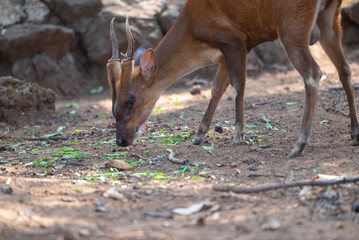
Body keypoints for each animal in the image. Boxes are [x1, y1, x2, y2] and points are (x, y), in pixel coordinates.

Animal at [107, 0, 359, 158]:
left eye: (130, 100)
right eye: (113, 106)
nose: (121, 141)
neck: (193, 28)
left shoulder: (235, 40)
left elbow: (238, 86)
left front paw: (238, 136)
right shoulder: (232, 49)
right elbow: (217, 88)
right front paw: (198, 136)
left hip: (292, 25)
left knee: (313, 73)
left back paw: (299, 145)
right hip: (329, 19)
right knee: (345, 69)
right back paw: (354, 133)